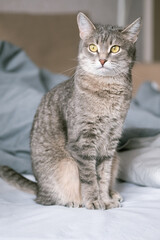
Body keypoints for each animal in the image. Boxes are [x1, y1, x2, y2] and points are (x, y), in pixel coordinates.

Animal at [0, 12, 141, 210]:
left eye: (115, 48)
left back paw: (113, 194)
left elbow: (103, 176)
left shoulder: (111, 142)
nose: (102, 60)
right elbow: (90, 178)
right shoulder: (82, 142)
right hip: (64, 166)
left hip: (117, 157)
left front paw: (105, 199)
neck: (107, 90)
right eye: (93, 47)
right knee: (52, 198)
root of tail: (38, 189)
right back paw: (73, 201)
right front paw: (94, 200)